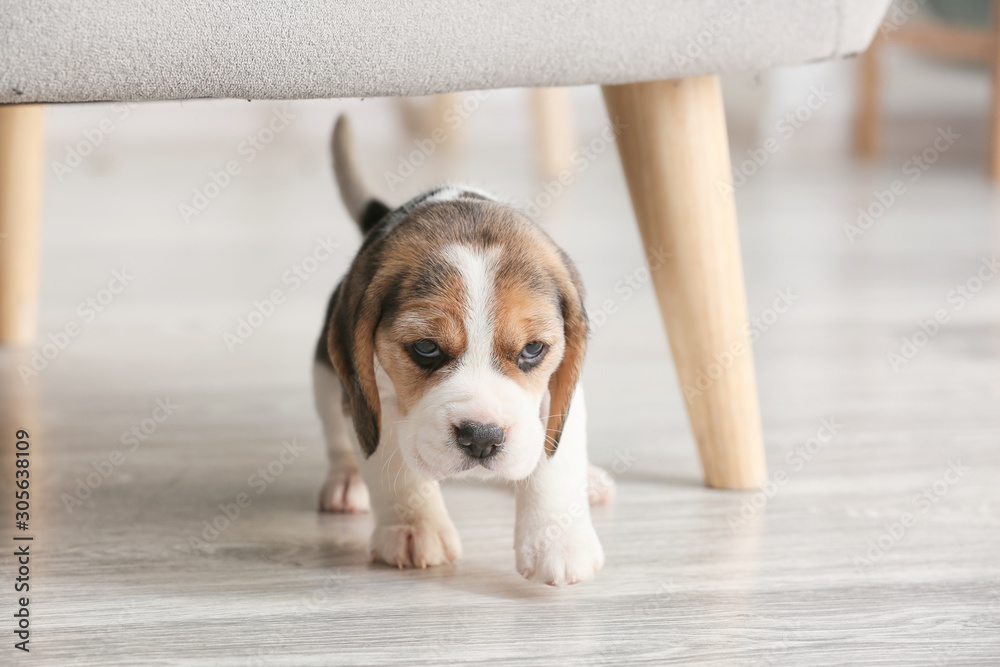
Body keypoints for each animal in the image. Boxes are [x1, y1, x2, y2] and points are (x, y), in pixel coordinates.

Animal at [314, 118, 608, 584]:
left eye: (533, 349)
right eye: (426, 348)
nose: (482, 439)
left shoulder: (560, 390)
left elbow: (556, 463)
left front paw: (558, 541)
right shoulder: (372, 393)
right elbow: (390, 464)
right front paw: (413, 527)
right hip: (328, 379)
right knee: (341, 438)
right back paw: (346, 481)